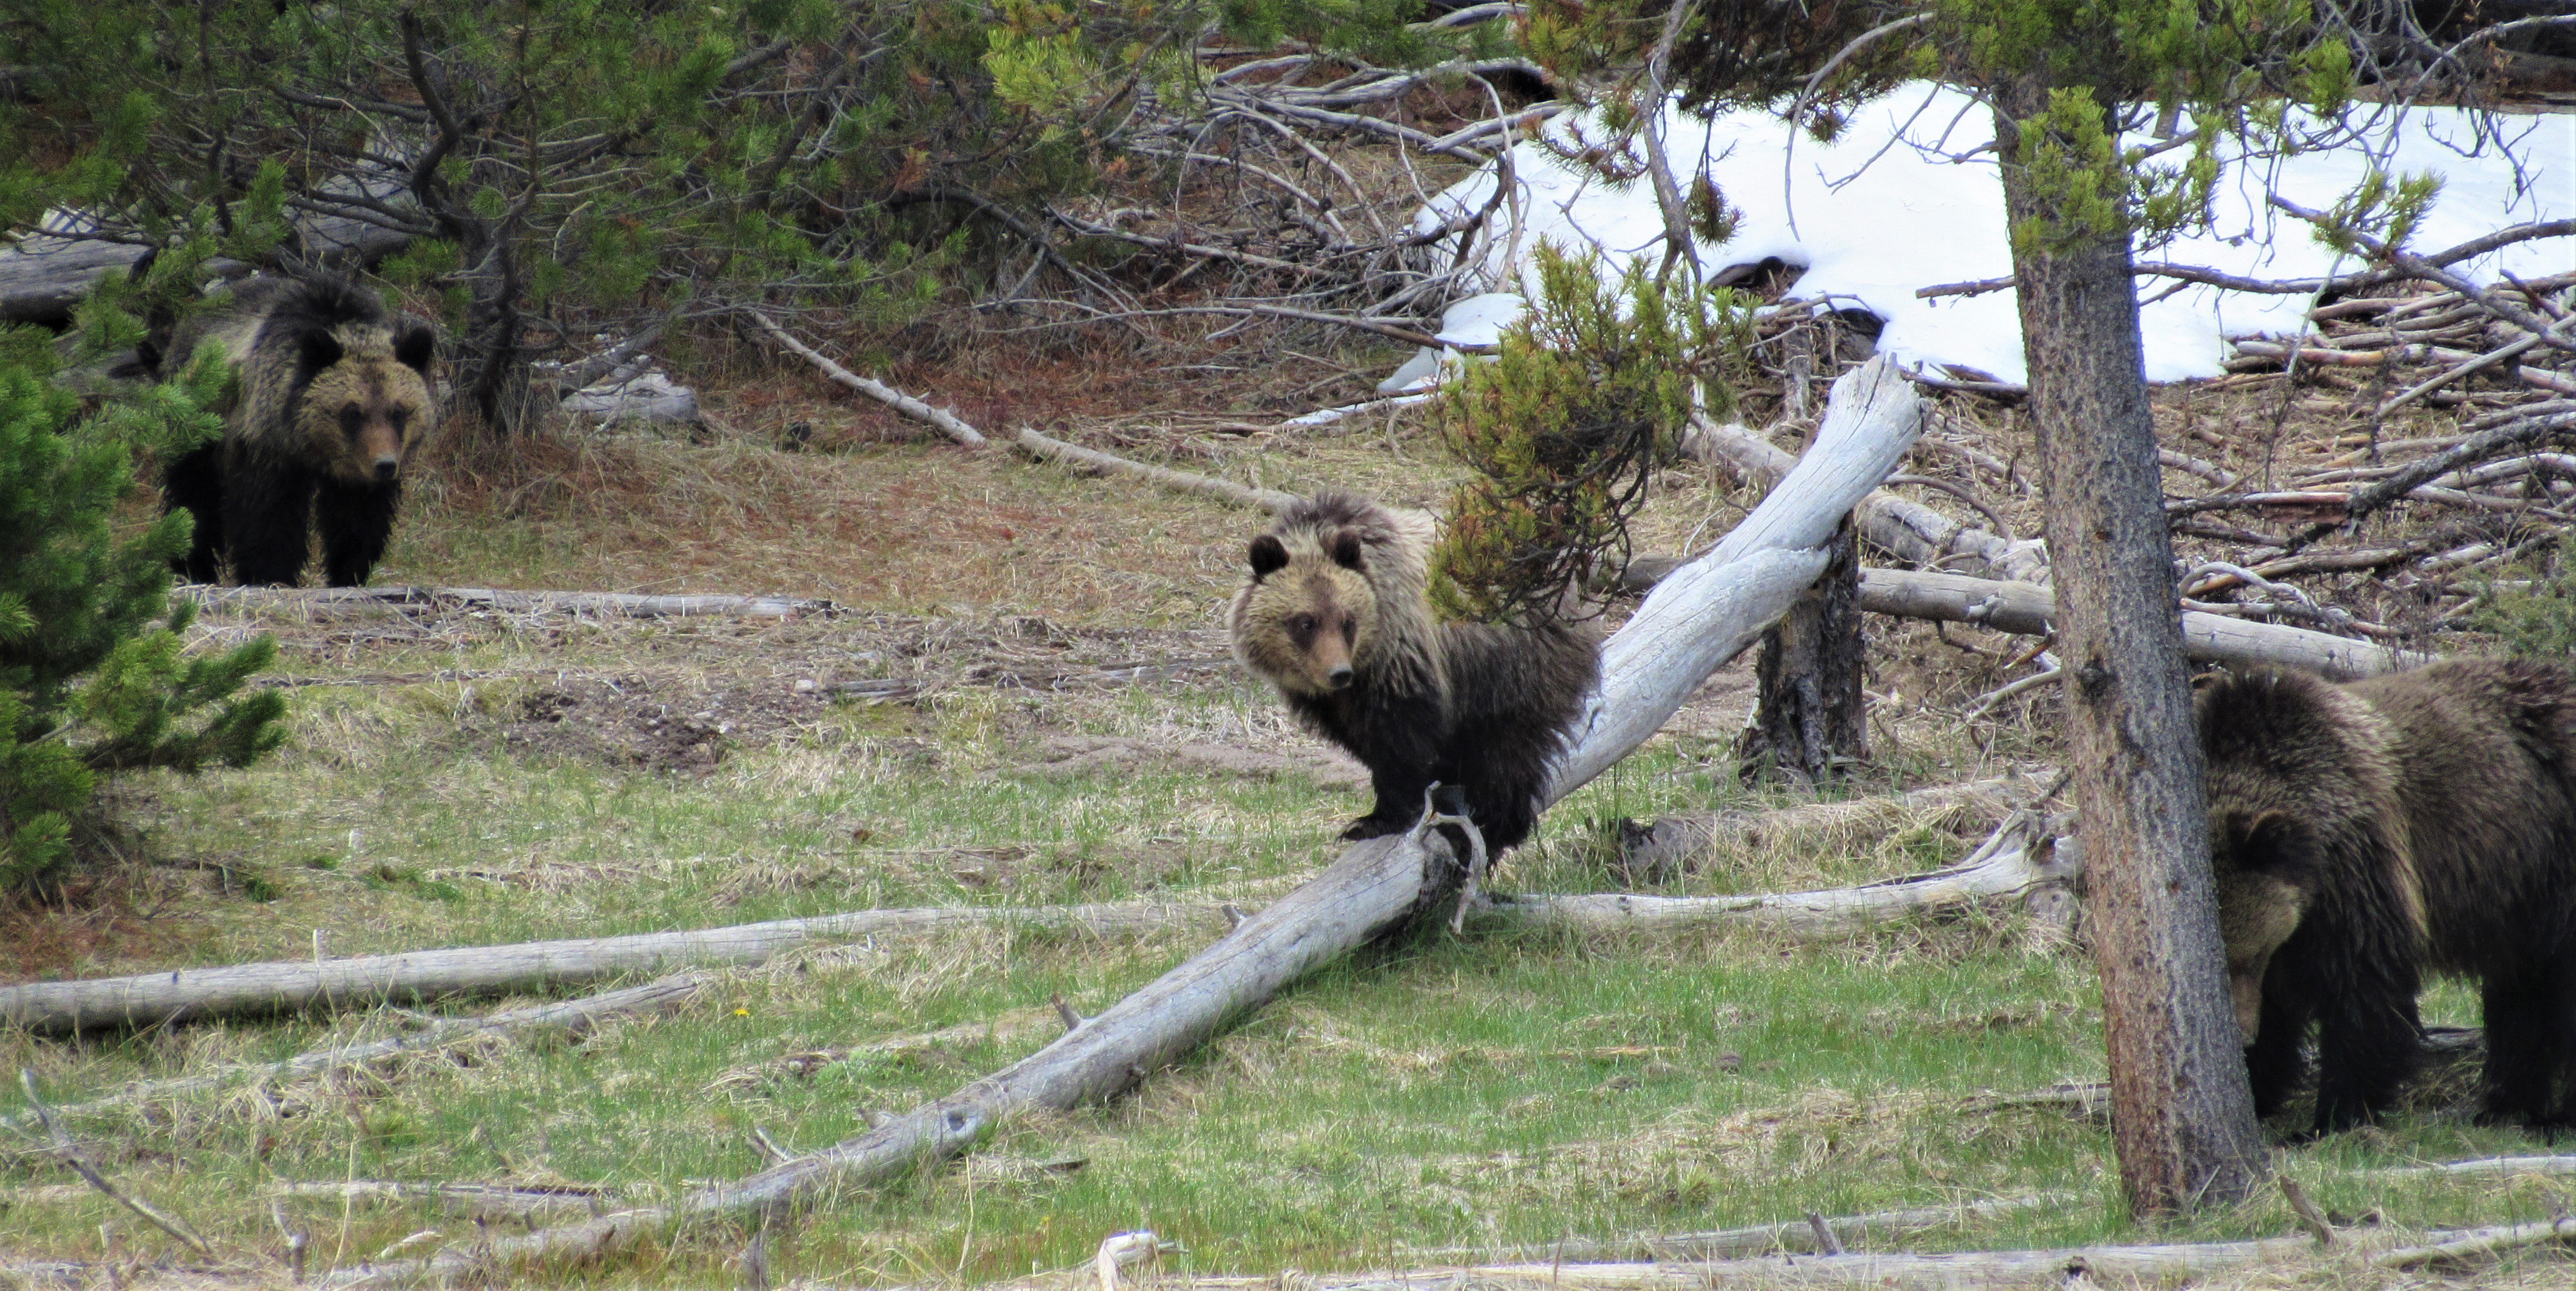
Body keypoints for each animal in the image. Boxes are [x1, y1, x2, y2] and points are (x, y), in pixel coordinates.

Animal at [160, 279, 435, 590]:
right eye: (353, 412)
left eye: (398, 411)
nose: (385, 465)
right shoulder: (266, 445)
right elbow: (269, 515)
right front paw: (269, 574)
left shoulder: (359, 474)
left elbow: (357, 518)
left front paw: (349, 572)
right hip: (201, 419)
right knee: (194, 494)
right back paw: (192, 565)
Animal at [1221, 487, 1587, 850]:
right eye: (1306, 622)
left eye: (1347, 620)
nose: (1339, 673)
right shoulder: (1331, 701)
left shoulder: (1402, 659)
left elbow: (1399, 741)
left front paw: (1375, 820)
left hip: (1508, 665)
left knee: (1507, 749)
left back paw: (1494, 824)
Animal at [2194, 659, 2576, 1134]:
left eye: (2247, 957)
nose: (2242, 1037)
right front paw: (2256, 1089)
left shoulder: (2358, 868)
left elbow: (2363, 989)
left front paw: (2331, 1117)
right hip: (2519, 894)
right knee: (2522, 989)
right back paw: (2504, 1105)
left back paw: (2551, 1115)